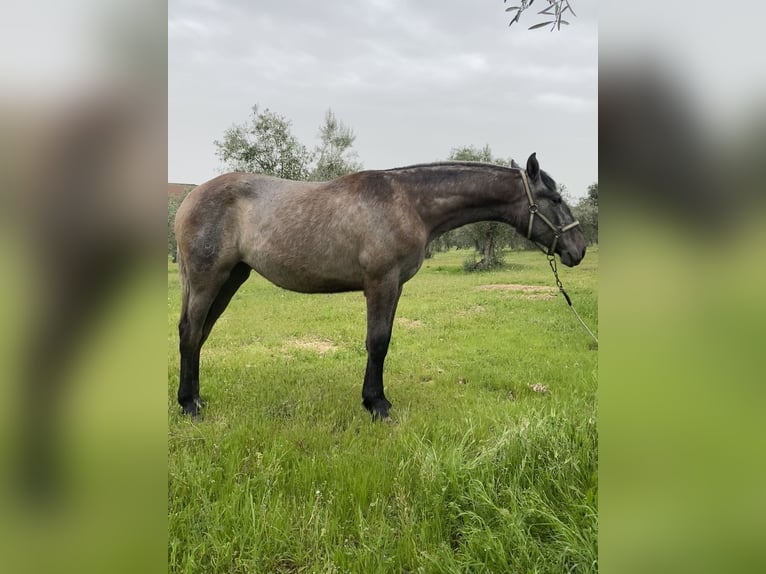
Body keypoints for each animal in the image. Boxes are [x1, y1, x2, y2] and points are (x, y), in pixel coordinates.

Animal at [174, 153, 587, 420]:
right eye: (555, 198)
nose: (578, 248)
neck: (409, 201)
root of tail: (189, 198)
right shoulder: (380, 283)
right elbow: (378, 342)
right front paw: (377, 405)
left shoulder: (395, 286)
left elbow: (383, 339)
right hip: (208, 278)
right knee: (191, 333)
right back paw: (189, 405)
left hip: (231, 278)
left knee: (199, 333)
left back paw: (195, 398)